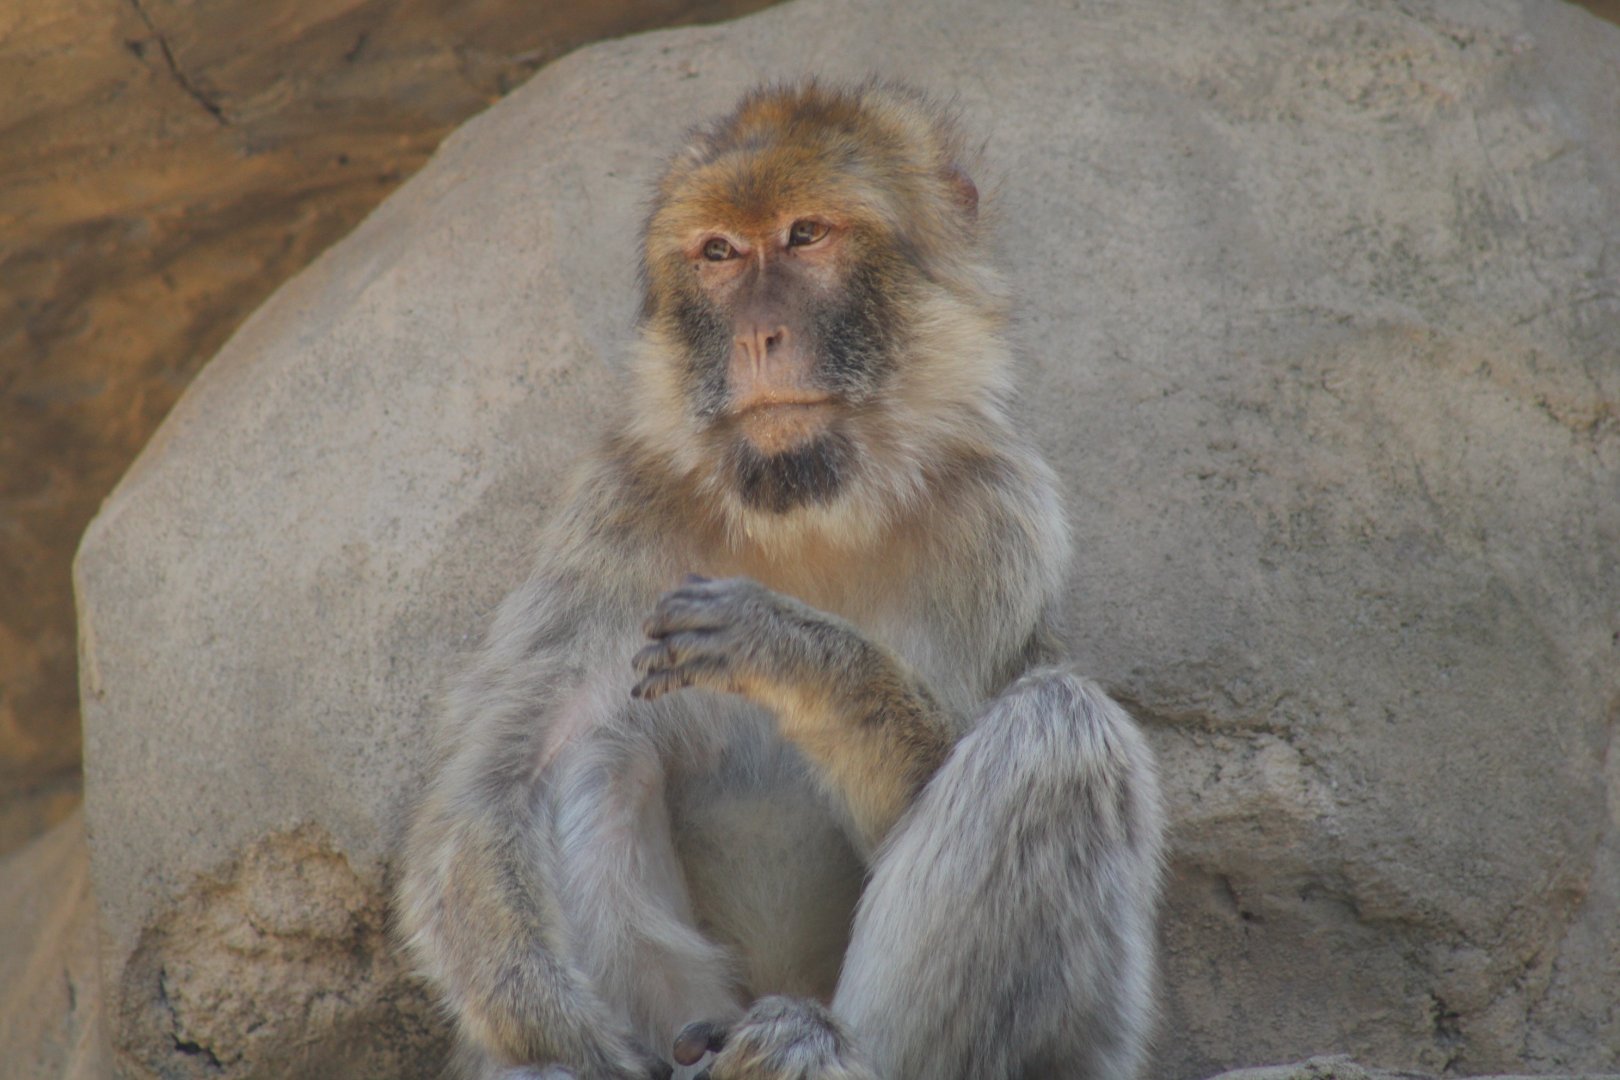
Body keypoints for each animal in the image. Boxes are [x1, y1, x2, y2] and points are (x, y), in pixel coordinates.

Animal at [397, 80, 1165, 1080]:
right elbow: (495, 784)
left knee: (1059, 726)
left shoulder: (1002, 521)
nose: (760, 335)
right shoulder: (613, 513)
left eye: (806, 235)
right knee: (598, 742)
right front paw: (560, 1032)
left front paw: (796, 651)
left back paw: (813, 1047)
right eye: (720, 252)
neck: (805, 513)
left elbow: (920, 790)